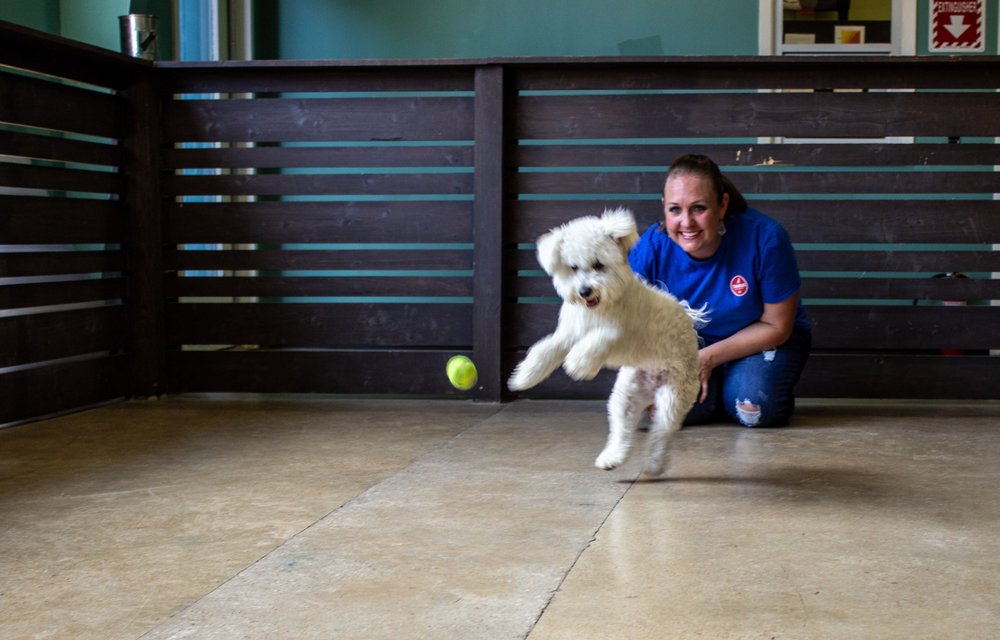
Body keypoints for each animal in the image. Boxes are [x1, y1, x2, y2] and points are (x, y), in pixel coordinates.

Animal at [508, 208, 704, 477]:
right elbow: (547, 349)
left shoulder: (619, 332)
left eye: (598, 264)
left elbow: (599, 340)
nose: (584, 291)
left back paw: (654, 463)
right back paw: (612, 458)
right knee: (622, 430)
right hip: (627, 395)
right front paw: (525, 375)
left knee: (662, 432)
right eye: (573, 267)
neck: (599, 309)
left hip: (674, 395)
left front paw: (579, 363)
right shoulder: (570, 332)